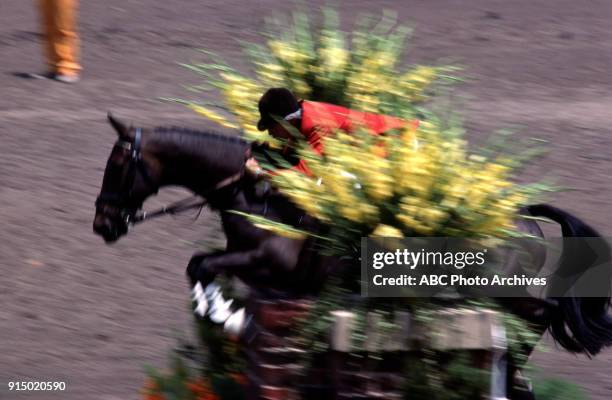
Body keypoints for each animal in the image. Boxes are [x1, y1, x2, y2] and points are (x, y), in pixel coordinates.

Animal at [93, 114, 608, 398]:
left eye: (117, 166)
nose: (103, 225)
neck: (251, 192)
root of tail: (523, 216)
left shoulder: (269, 264)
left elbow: (203, 267)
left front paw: (227, 317)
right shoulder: (248, 260)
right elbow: (198, 265)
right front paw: (217, 311)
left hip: (501, 289)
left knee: (543, 314)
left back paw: (518, 375)